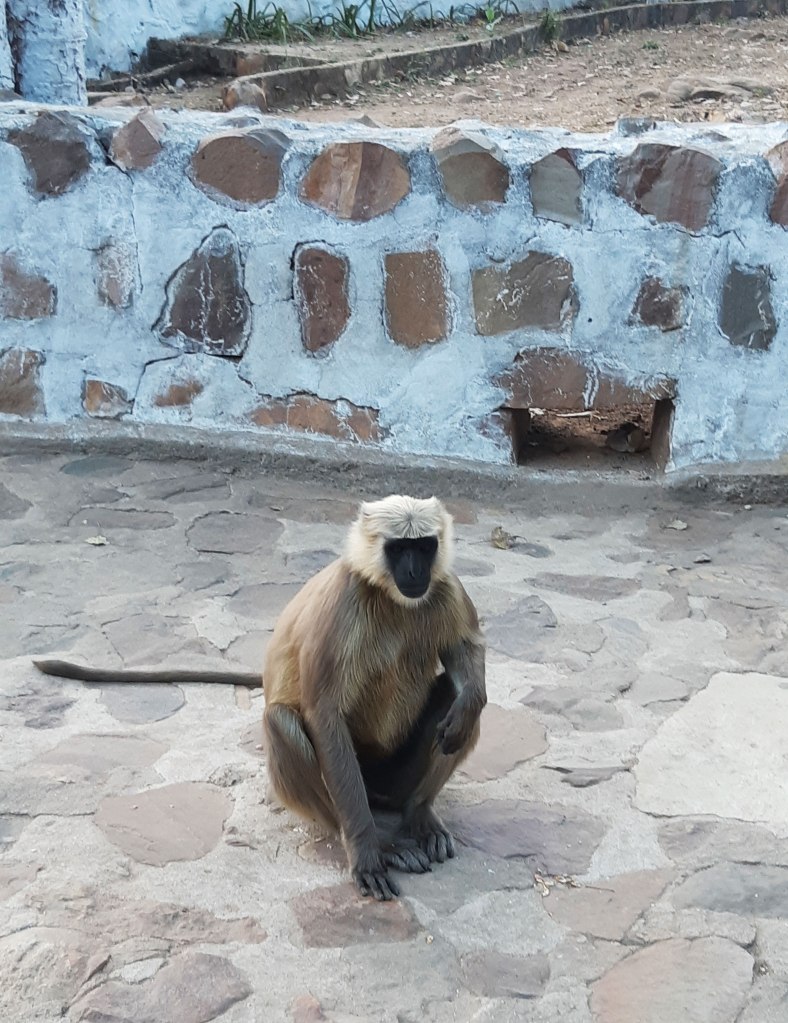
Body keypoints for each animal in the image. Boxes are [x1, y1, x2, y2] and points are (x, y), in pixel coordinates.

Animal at [262, 494, 487, 901]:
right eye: (397, 549)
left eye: (424, 547)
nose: (414, 572)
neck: (389, 596)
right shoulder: (344, 601)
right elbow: (325, 716)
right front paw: (367, 853)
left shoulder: (445, 584)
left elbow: (465, 652)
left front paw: (470, 700)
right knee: (280, 720)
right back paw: (383, 843)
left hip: (396, 779)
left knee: (459, 703)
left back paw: (419, 813)